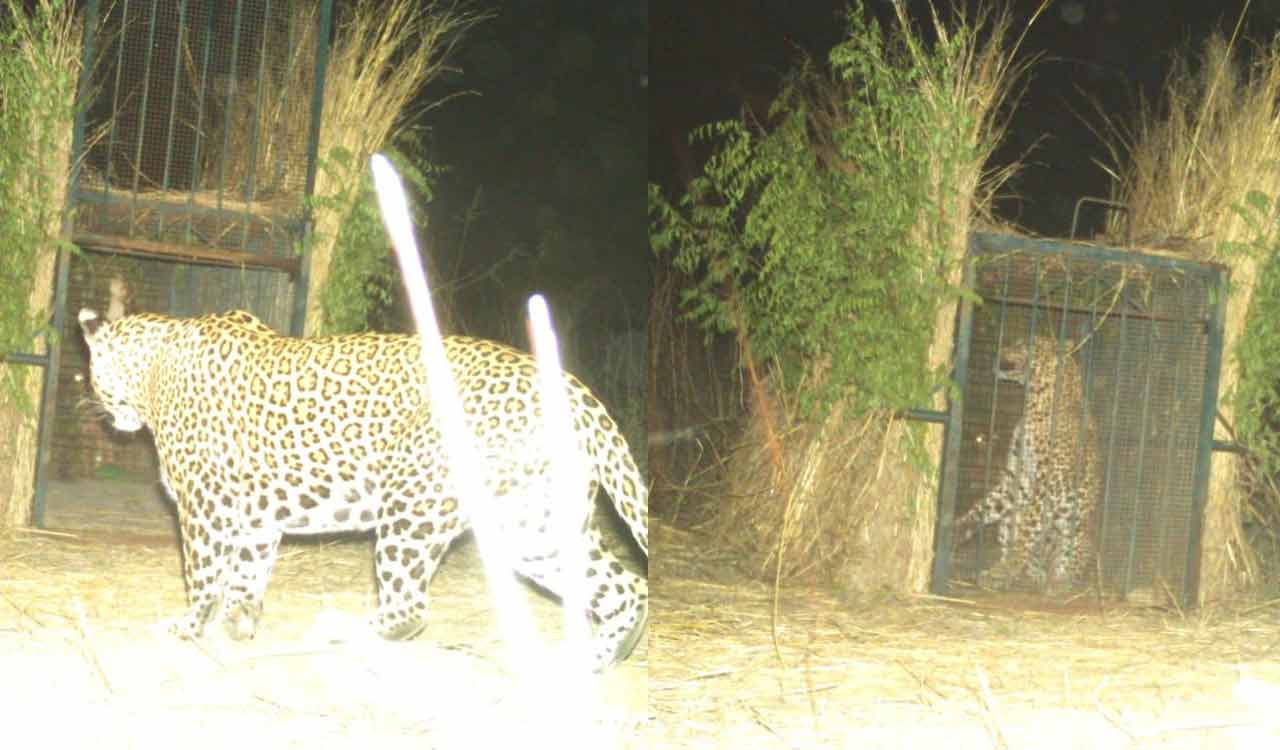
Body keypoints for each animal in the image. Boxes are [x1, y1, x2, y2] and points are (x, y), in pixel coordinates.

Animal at [77, 307, 648, 670]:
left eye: (91, 375)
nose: (104, 411)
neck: (154, 368)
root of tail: (577, 393)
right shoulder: (255, 518)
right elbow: (246, 576)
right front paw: (239, 625)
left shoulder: (205, 508)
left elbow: (203, 576)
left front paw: (189, 627)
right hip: (529, 526)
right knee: (627, 587)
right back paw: (596, 660)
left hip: (415, 504)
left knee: (411, 608)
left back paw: (339, 630)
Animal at [954, 335, 1101, 595]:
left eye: (1024, 344)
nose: (999, 349)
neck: (1035, 402)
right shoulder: (1018, 479)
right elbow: (987, 505)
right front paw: (957, 528)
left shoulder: (1047, 486)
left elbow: (1027, 532)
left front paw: (1007, 567)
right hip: (1011, 522)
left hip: (1076, 533)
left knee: (1066, 568)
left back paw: (1054, 583)